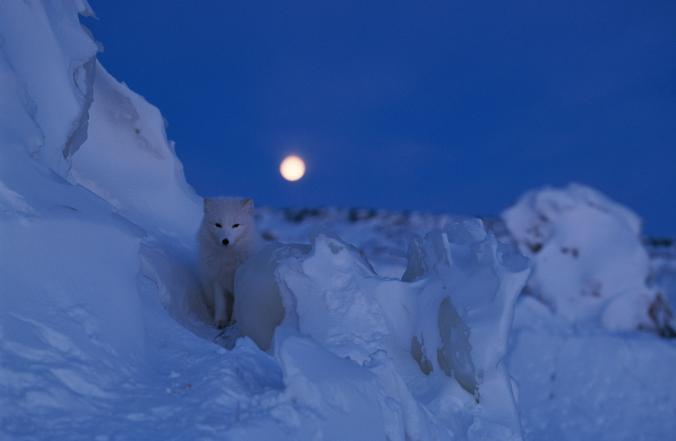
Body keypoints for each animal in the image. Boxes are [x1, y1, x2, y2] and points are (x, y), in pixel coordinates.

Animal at [199, 196, 258, 326]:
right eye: (218, 225)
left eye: (235, 225)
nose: (225, 241)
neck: (228, 260)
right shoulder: (217, 278)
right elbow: (220, 302)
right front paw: (220, 321)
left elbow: (237, 304)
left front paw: (234, 321)